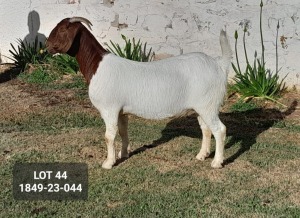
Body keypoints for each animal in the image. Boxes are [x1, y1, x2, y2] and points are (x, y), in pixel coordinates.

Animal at [46, 17, 232, 170]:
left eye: (62, 29)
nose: (46, 46)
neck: (97, 66)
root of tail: (219, 64)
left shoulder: (109, 109)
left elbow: (109, 136)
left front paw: (108, 163)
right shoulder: (121, 111)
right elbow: (122, 131)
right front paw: (123, 154)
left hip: (208, 105)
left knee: (220, 130)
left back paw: (216, 162)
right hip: (202, 106)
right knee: (206, 129)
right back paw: (201, 155)